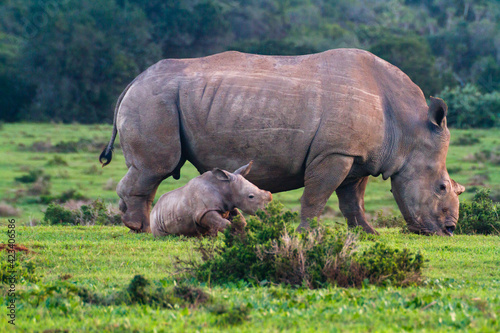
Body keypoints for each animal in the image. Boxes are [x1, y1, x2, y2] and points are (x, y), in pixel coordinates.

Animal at [100, 48, 464, 236]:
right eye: (441, 187)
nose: (448, 229)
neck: (408, 131)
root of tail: (135, 80)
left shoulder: (358, 156)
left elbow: (352, 199)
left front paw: (367, 233)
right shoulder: (334, 152)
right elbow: (317, 195)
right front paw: (308, 234)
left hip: (159, 98)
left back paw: (135, 224)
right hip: (154, 100)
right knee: (156, 166)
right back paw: (138, 227)